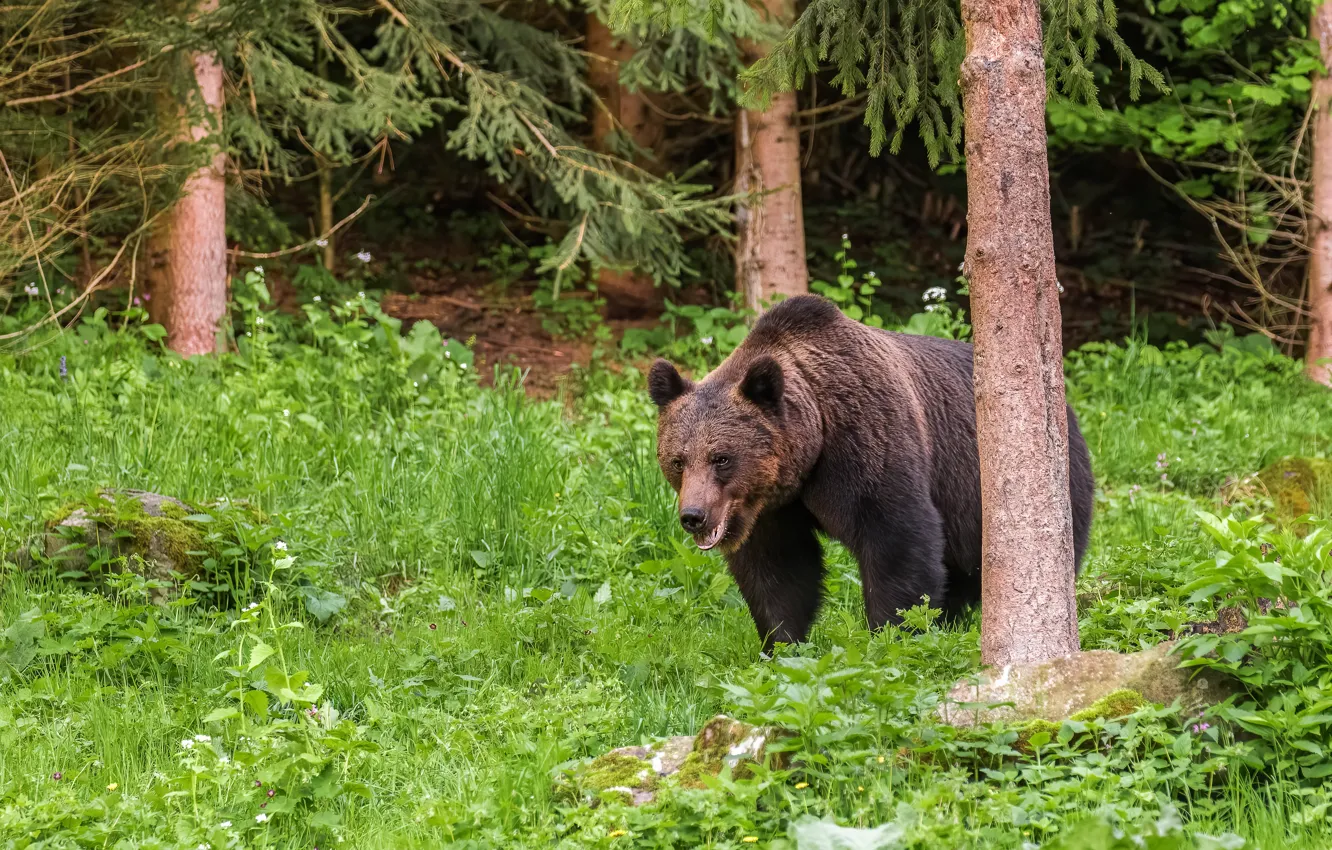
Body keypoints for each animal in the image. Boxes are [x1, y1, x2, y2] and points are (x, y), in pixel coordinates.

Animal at [647, 294, 1094, 651]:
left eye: (721, 457)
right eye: (678, 460)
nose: (693, 516)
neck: (811, 446)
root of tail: (1068, 402)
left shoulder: (867, 442)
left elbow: (897, 540)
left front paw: (893, 634)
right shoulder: (770, 508)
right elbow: (778, 570)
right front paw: (780, 645)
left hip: (1007, 483)